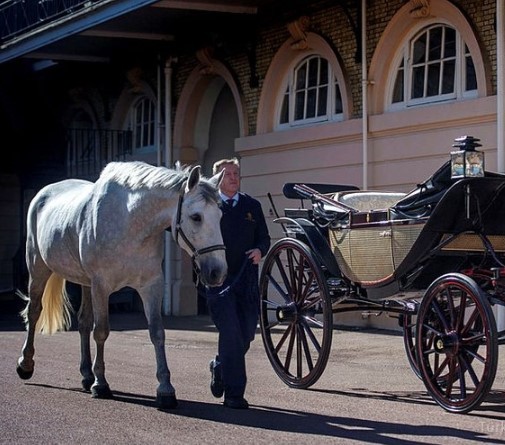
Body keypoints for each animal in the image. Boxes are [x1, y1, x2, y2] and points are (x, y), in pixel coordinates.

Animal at [16, 161, 226, 408]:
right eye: (196, 217)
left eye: (220, 215)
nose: (218, 272)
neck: (130, 222)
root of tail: (43, 193)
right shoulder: (101, 285)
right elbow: (101, 331)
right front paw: (101, 385)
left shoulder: (151, 286)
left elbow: (157, 332)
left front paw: (165, 389)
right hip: (39, 269)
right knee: (34, 312)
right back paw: (26, 364)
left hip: (85, 283)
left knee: (83, 322)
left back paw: (86, 375)